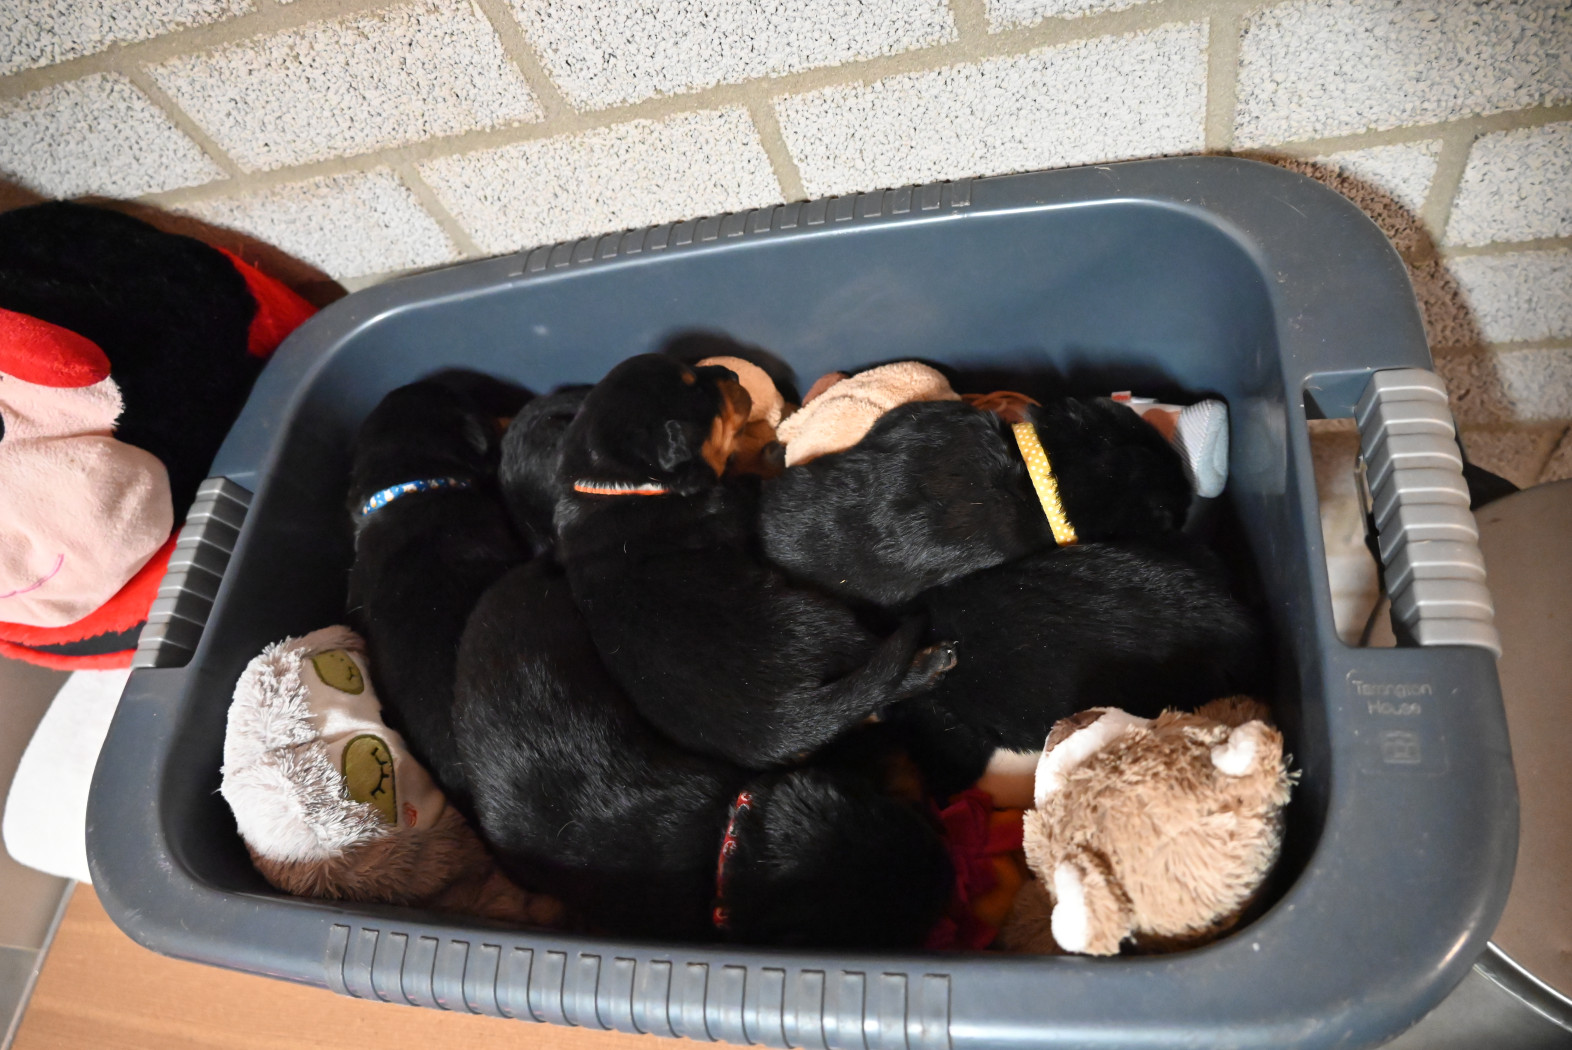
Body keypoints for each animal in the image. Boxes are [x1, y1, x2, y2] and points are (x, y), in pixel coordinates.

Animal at [549, 352, 956, 769]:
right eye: (697, 389)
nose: (731, 373)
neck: (617, 484)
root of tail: (786, 720)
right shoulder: (738, 500)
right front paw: (771, 453)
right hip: (821, 620)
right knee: (877, 669)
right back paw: (929, 662)